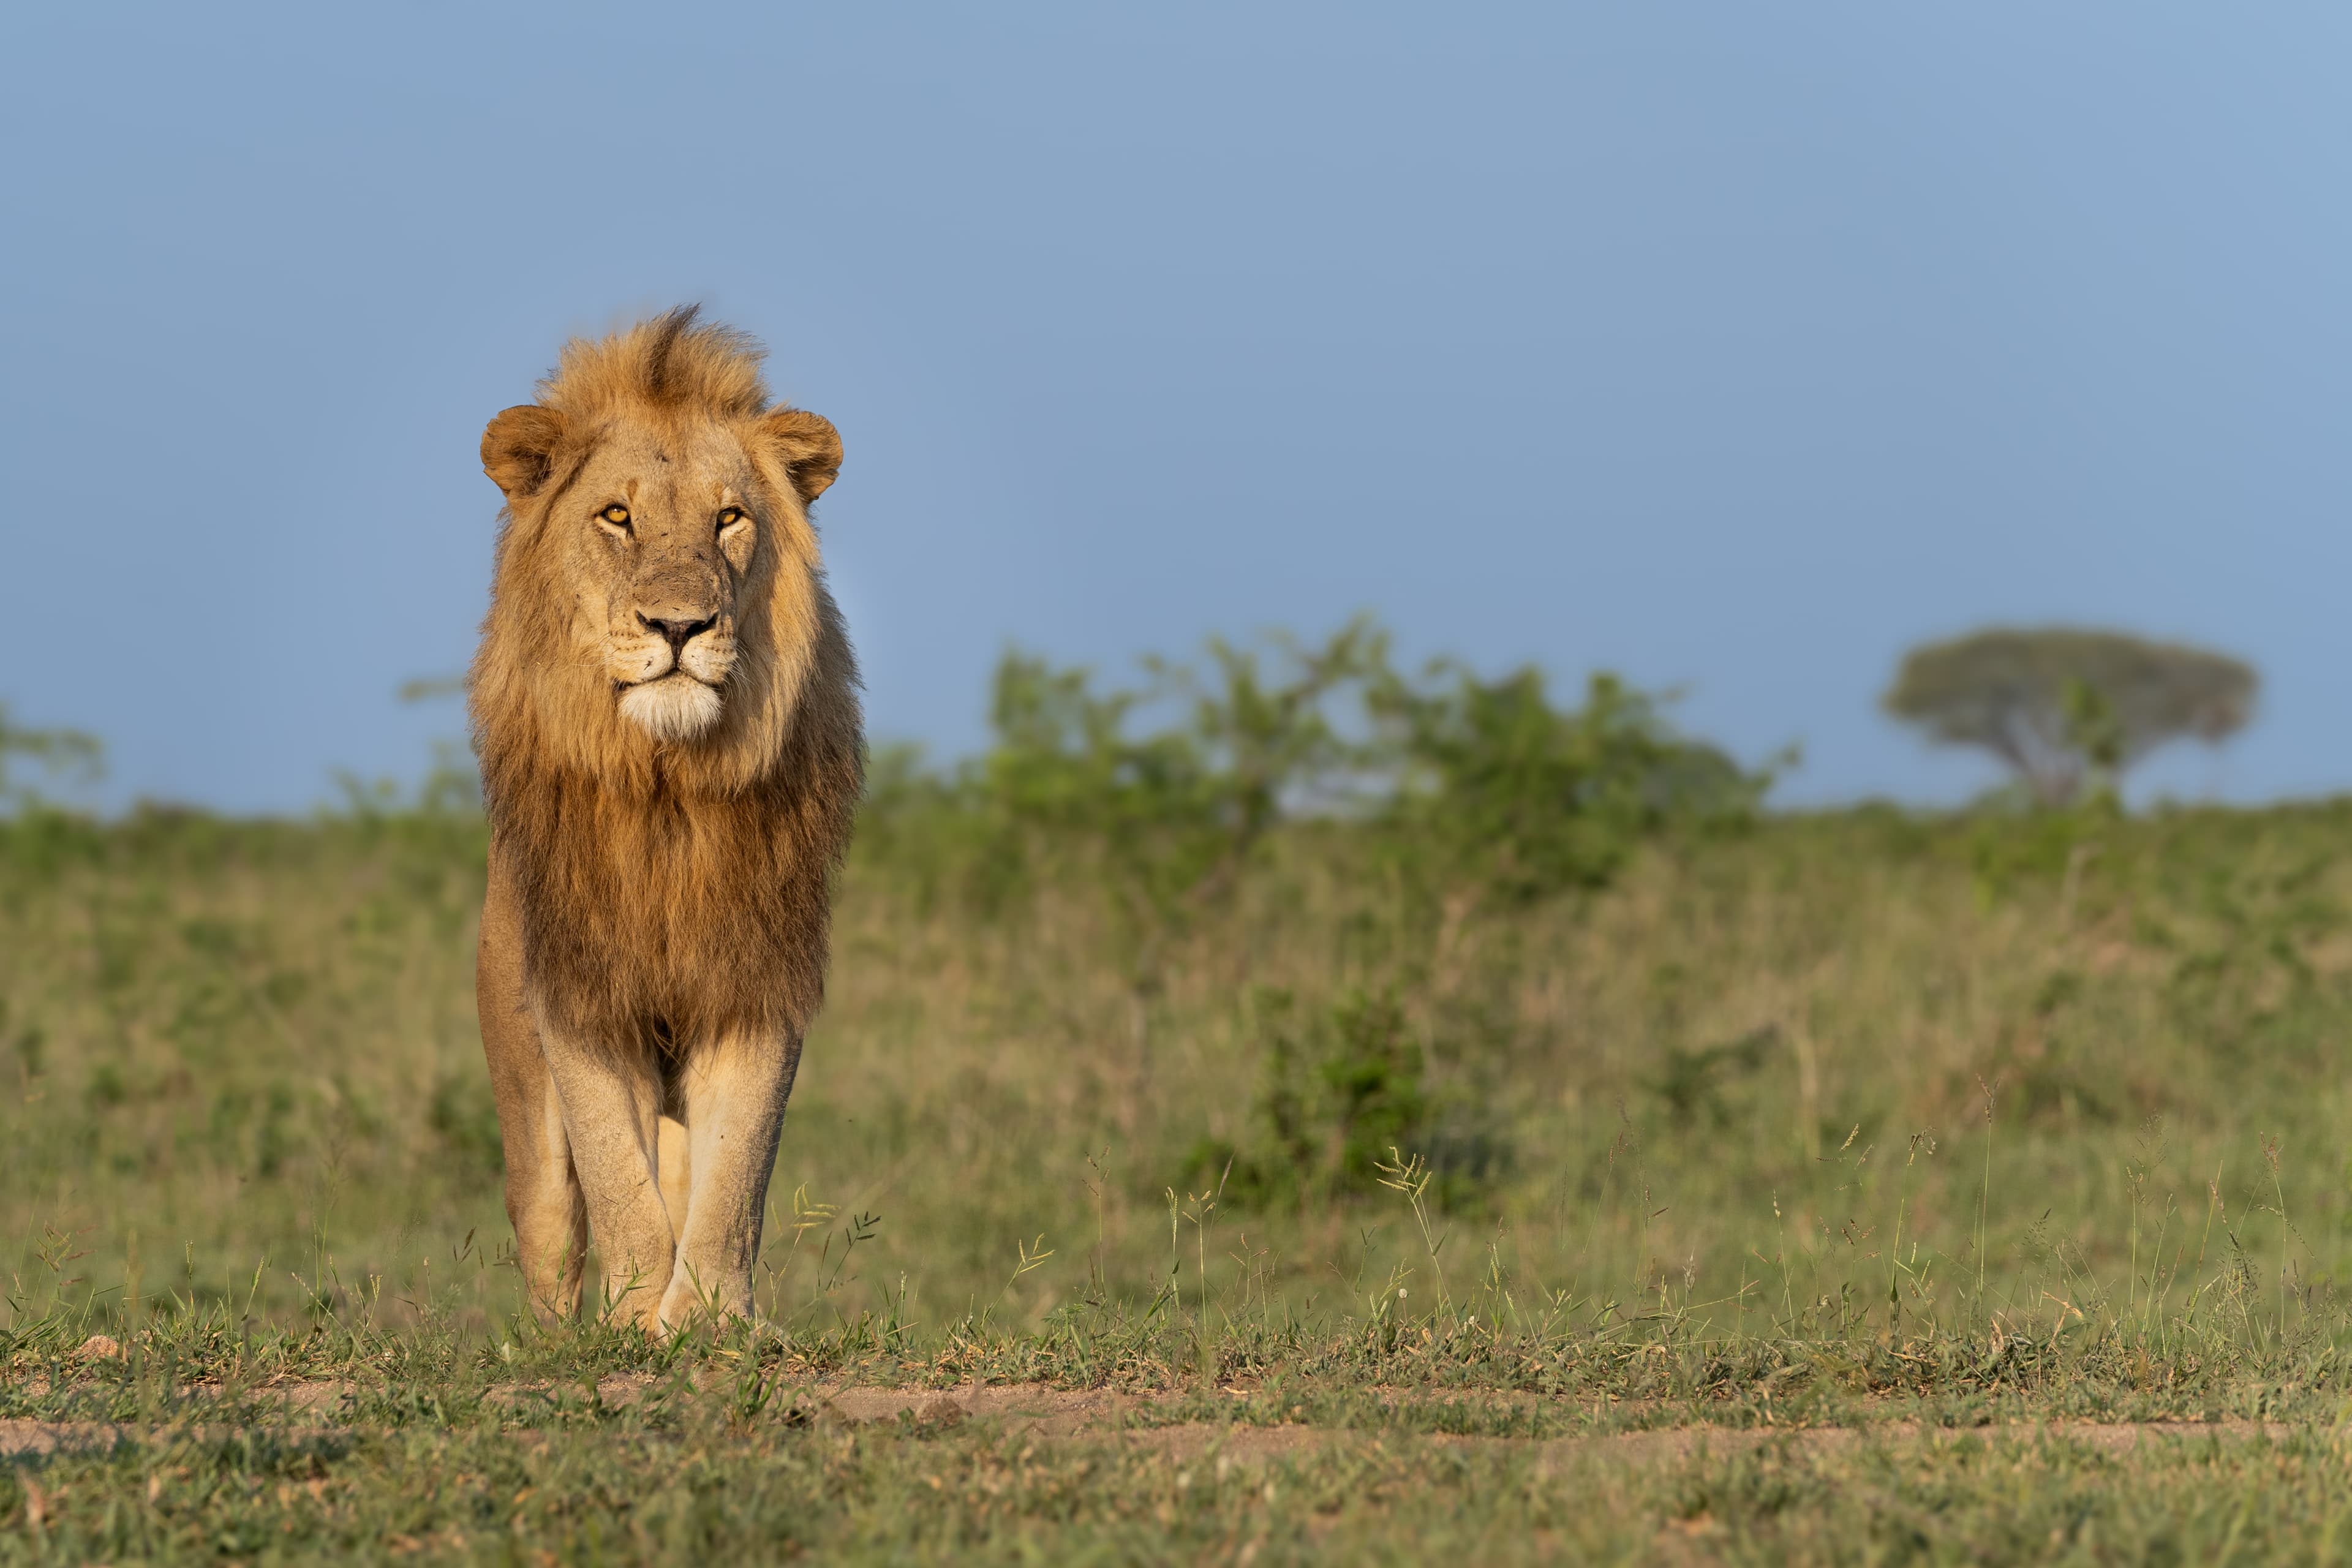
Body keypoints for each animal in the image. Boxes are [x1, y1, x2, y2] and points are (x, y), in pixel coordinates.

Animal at [468, 307, 862, 1330]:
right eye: (618, 516)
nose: (679, 628)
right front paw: (634, 1316)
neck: (670, 791)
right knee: (551, 1225)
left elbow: (736, 1183)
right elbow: (614, 1176)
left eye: (729, 519)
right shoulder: (581, 996)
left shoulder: (758, 981)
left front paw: (711, 1320)